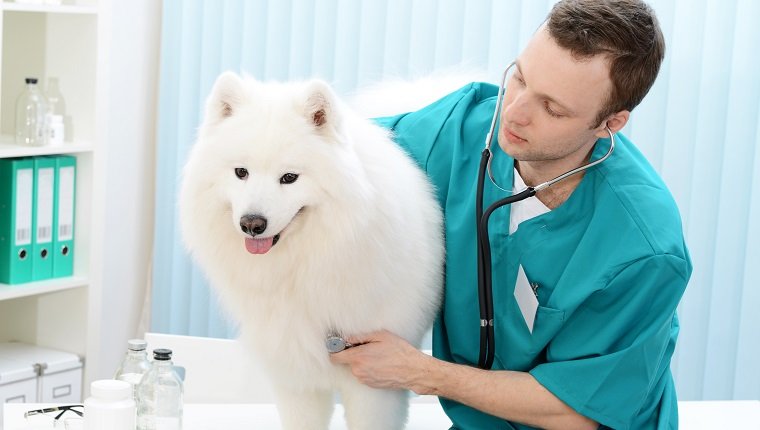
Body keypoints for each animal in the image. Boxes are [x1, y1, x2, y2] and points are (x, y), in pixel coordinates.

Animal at [179, 71, 446, 430]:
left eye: (289, 177)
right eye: (241, 172)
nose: (252, 224)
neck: (305, 266)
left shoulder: (376, 381)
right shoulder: (295, 374)